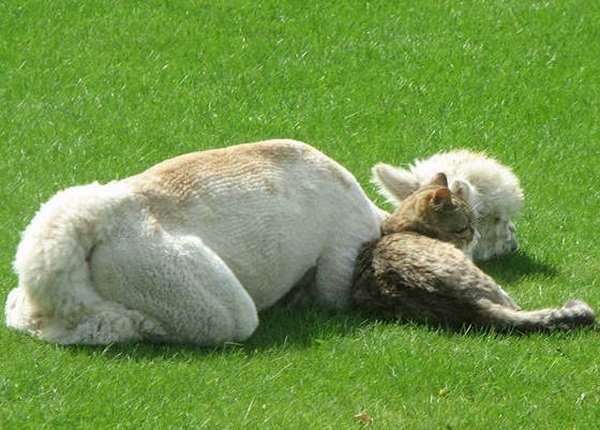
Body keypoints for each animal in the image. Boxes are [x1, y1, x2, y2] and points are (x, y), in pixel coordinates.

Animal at [5, 140, 384, 346]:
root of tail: (100, 214)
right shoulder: (344, 247)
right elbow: (332, 296)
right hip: (162, 269)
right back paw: (137, 325)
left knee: (21, 310)